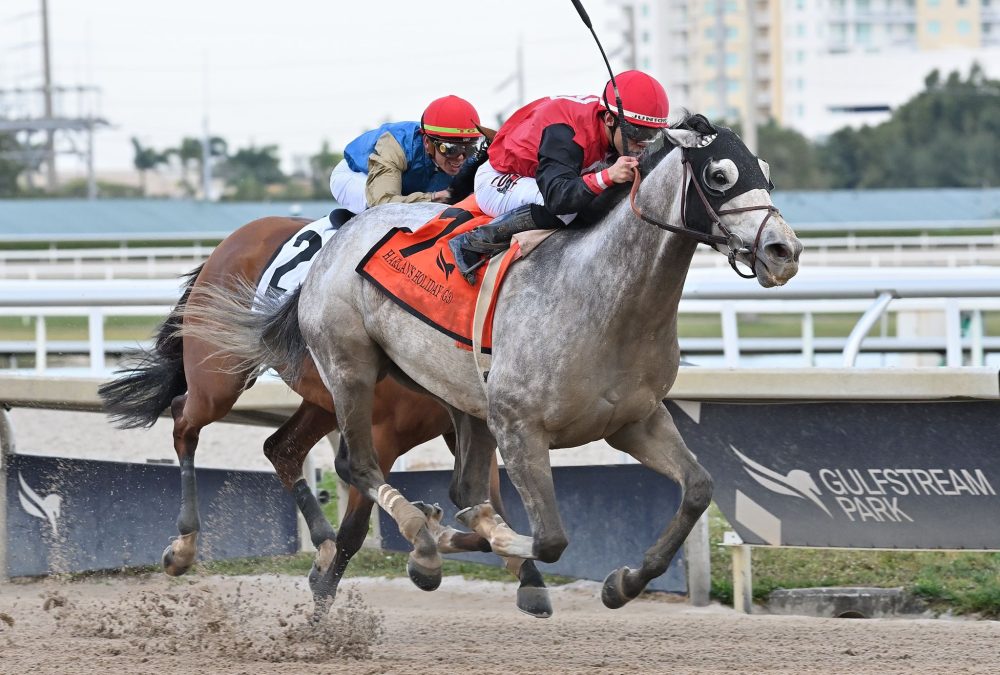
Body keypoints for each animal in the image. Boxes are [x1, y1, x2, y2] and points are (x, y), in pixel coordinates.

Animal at [97, 213, 552, 616]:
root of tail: (238, 236)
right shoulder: (382, 434)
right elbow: (356, 524)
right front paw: (328, 597)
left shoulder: (461, 426)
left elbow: (491, 512)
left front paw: (522, 575)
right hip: (219, 378)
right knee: (184, 420)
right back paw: (184, 547)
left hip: (320, 402)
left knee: (280, 447)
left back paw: (321, 541)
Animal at [182, 117, 804, 612]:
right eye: (720, 175)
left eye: (768, 174)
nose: (784, 251)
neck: (602, 300)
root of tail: (335, 241)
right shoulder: (519, 426)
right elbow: (548, 538)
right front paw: (454, 547)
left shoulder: (634, 421)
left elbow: (697, 489)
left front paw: (623, 583)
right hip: (340, 369)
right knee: (346, 463)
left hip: (452, 400)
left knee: (379, 470)